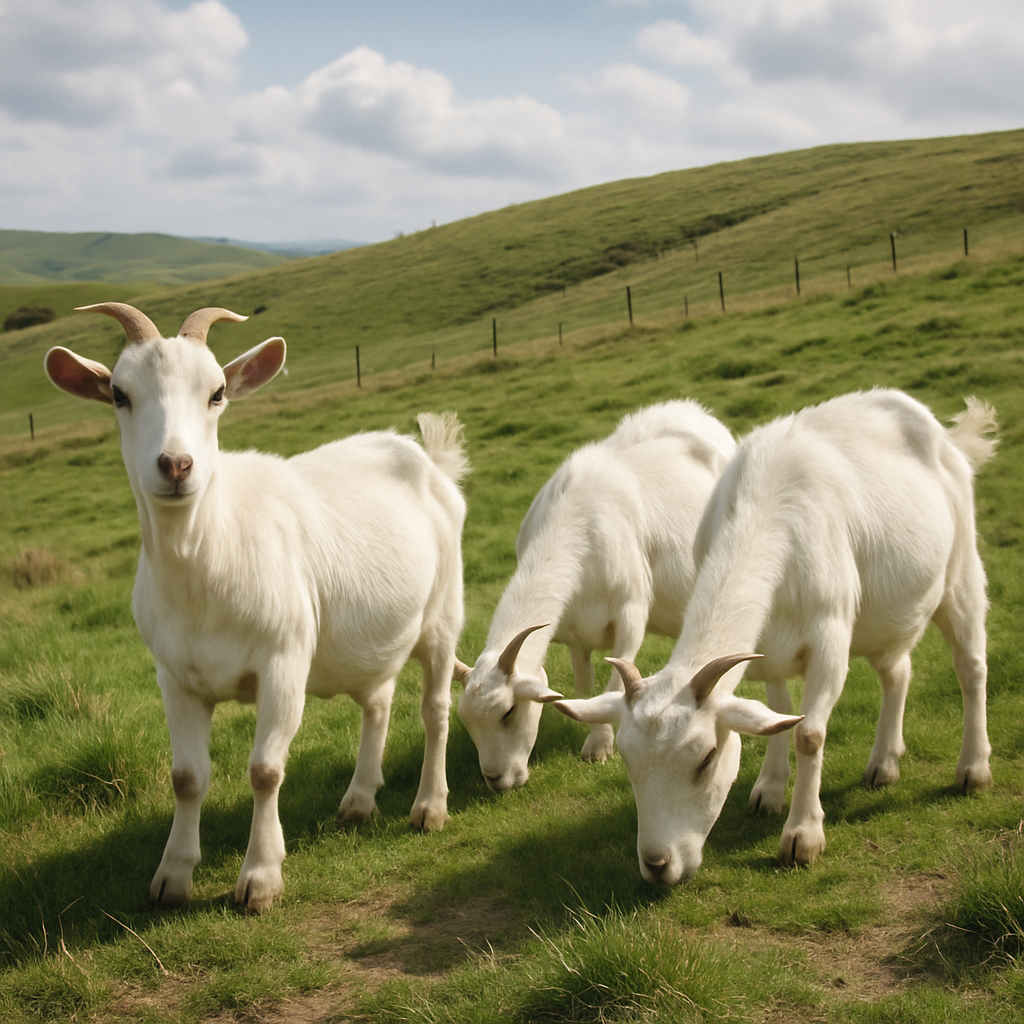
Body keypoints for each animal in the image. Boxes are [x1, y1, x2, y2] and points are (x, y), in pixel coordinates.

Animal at [44, 302, 468, 912]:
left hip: (442, 614)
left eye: (217, 392)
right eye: (120, 394)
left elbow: (266, 770)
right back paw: (359, 800)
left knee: (434, 708)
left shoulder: (284, 661)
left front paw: (261, 879)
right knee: (378, 702)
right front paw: (172, 876)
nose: (176, 465)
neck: (205, 558)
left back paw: (429, 807)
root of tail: (426, 456)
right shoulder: (174, 675)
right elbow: (186, 776)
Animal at [455, 401, 736, 791]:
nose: (496, 780)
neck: (572, 521)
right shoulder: (573, 635)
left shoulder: (631, 616)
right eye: (466, 722)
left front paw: (599, 748)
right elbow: (586, 687)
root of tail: (692, 408)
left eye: (509, 711)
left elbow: (615, 679)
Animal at [555, 389, 996, 885]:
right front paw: (768, 791)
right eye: (628, 759)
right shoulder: (764, 648)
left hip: (961, 571)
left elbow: (810, 734)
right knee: (897, 672)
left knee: (971, 667)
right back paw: (884, 764)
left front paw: (803, 837)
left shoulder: (830, 637)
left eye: (706, 758)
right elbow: (778, 714)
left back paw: (973, 768)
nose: (657, 864)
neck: (767, 510)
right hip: (886, 616)